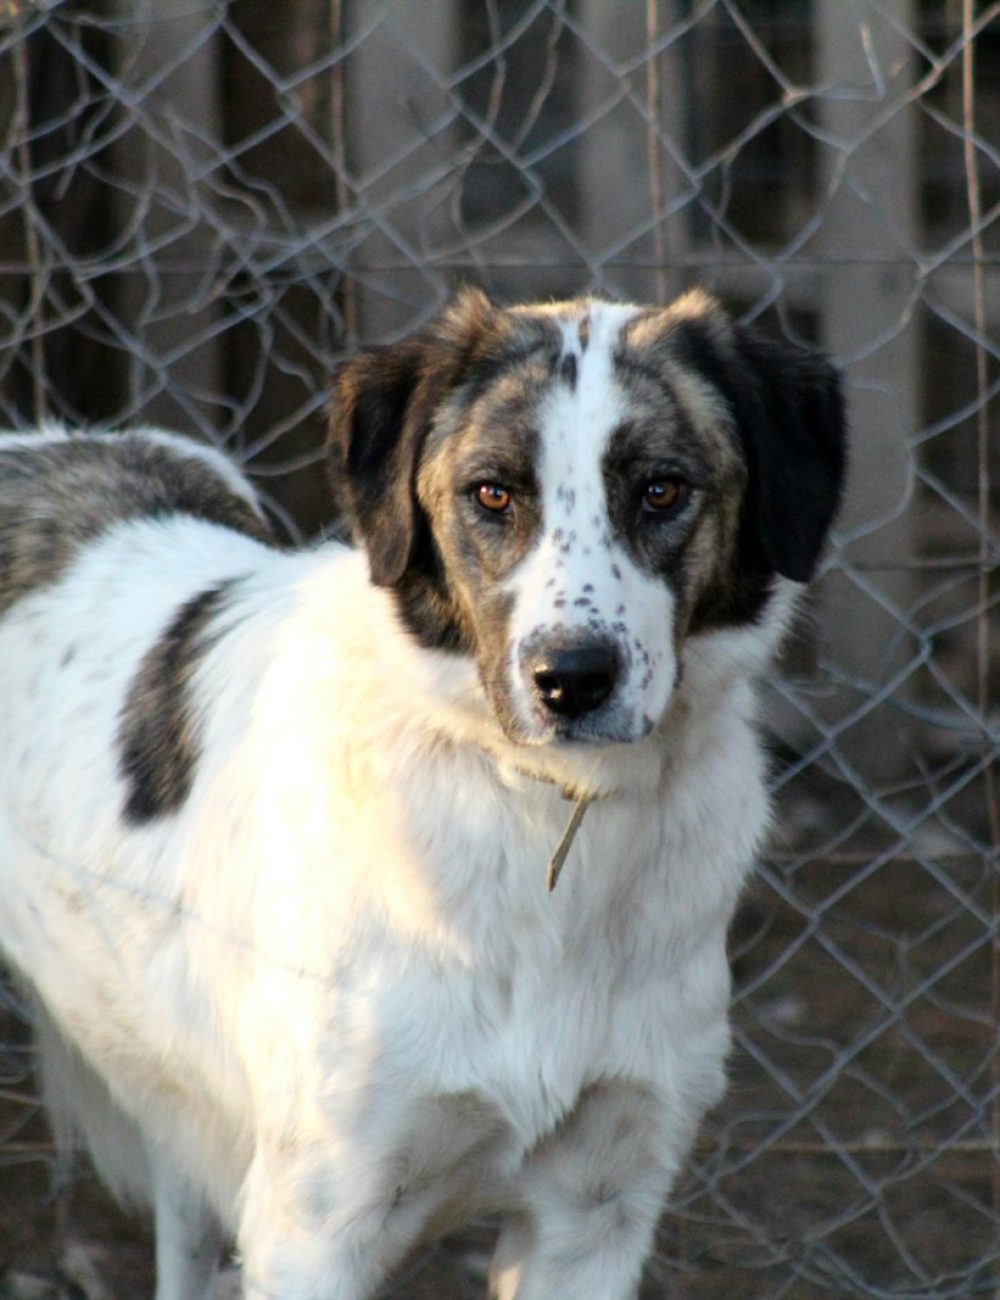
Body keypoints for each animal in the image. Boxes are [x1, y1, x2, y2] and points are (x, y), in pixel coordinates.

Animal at [0, 289, 842, 1294]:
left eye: (662, 489)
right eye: (492, 493)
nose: (572, 680)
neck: (540, 814)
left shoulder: (597, 1213)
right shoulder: (315, 1228)